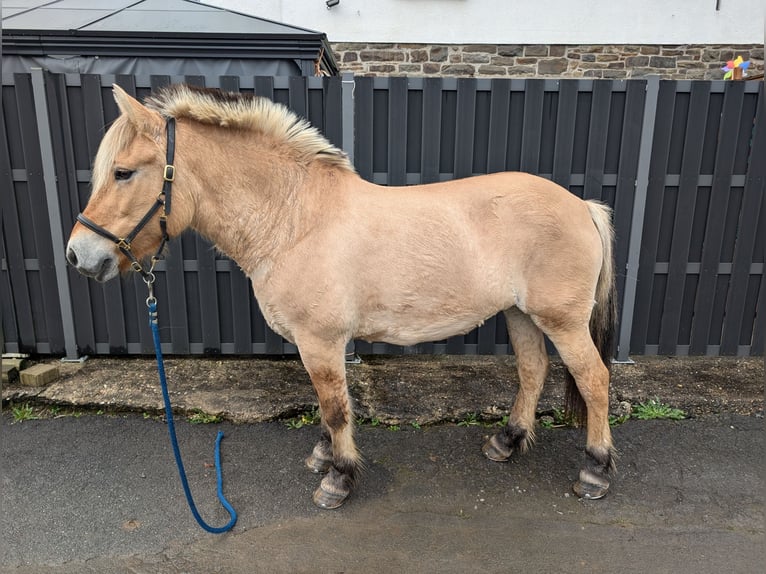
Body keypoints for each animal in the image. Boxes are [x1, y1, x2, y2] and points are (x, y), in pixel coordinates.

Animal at [64, 84, 616, 508]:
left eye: (123, 172)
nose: (78, 255)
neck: (293, 219)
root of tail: (582, 206)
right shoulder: (315, 345)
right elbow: (325, 404)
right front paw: (325, 456)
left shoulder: (321, 341)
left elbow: (334, 407)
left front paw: (339, 477)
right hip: (520, 313)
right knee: (533, 371)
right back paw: (506, 441)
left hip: (562, 320)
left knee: (594, 380)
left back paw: (595, 470)